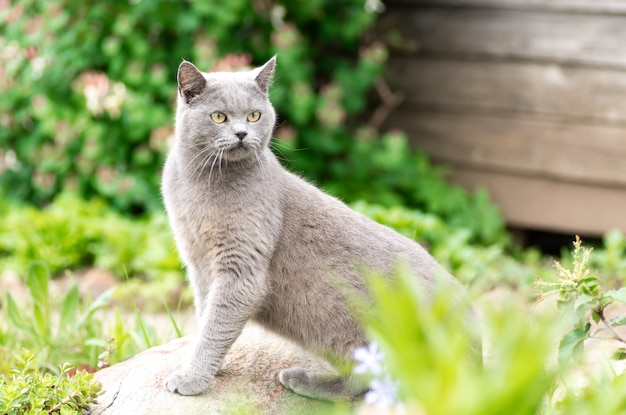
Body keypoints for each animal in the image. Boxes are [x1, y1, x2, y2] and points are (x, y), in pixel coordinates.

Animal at [161, 57, 478, 402]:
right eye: (219, 116)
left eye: (254, 115)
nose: (242, 133)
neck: (202, 182)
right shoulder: (199, 264)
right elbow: (207, 315)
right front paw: (207, 368)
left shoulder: (241, 269)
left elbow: (216, 324)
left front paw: (191, 378)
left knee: (371, 382)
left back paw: (304, 381)